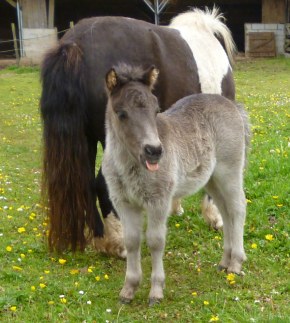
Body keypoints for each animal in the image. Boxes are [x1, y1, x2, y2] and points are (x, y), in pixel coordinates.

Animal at [40, 6, 236, 256]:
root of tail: (75, 43)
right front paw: (214, 218)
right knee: (102, 184)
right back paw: (119, 243)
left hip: (86, 141)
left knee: (87, 185)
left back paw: (101, 239)